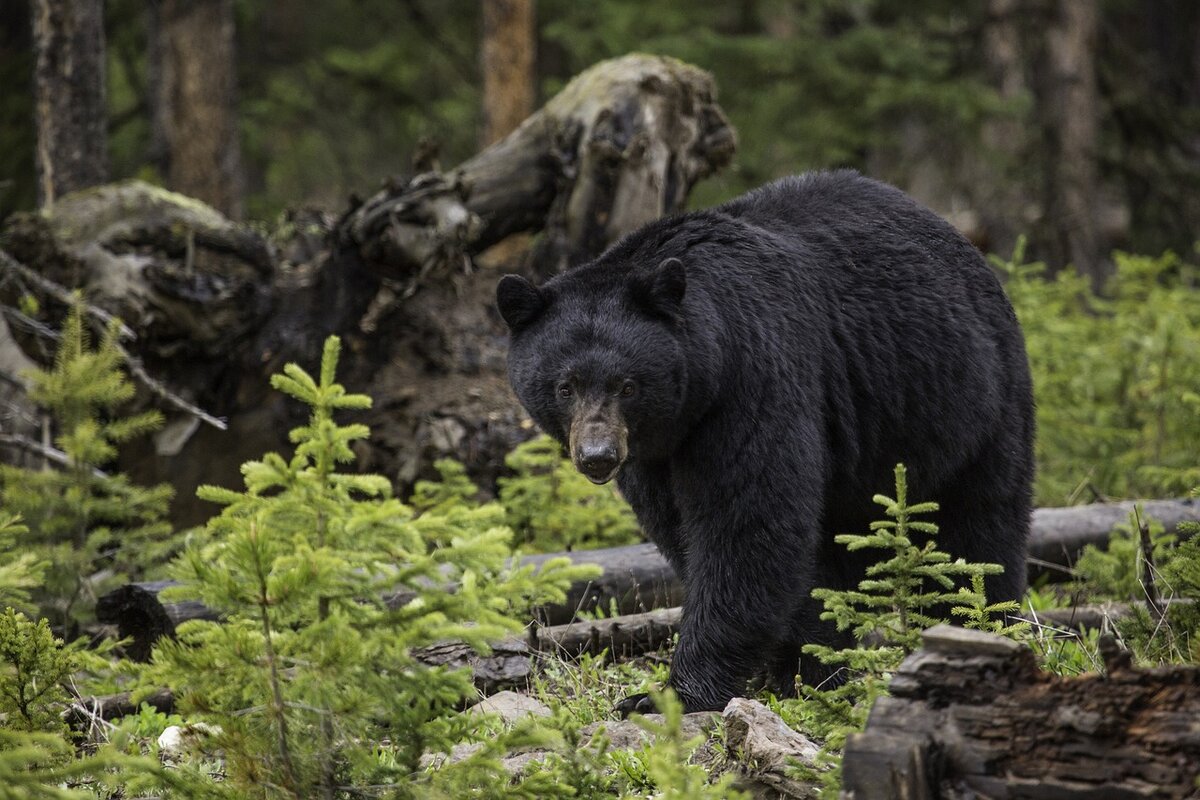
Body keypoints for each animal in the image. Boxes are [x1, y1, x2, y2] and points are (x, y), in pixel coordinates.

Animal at [496, 170, 1034, 714]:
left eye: (627, 385)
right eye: (565, 386)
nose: (598, 457)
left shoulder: (754, 377)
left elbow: (748, 523)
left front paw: (672, 694)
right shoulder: (655, 452)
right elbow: (684, 529)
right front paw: (799, 666)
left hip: (970, 401)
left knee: (977, 528)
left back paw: (977, 626)